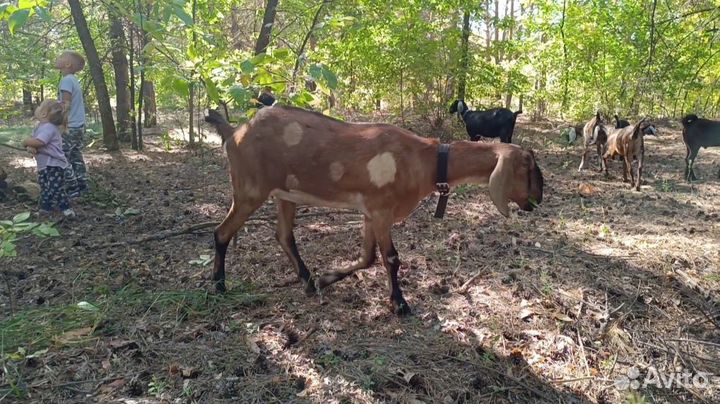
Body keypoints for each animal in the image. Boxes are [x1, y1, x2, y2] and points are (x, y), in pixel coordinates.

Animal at [205, 105, 544, 314]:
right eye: (528, 167)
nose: (538, 199)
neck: (425, 160)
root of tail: (233, 132)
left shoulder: (370, 213)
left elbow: (368, 258)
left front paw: (327, 278)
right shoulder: (381, 212)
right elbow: (391, 258)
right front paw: (400, 304)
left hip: (284, 193)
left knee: (284, 236)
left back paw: (308, 281)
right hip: (250, 189)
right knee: (221, 232)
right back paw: (219, 285)